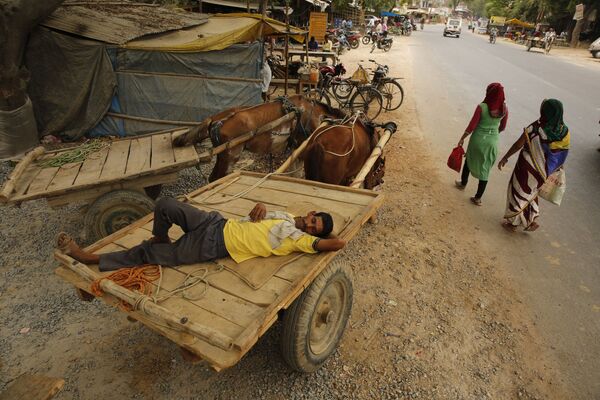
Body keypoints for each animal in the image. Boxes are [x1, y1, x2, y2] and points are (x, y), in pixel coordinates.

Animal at [173, 94, 346, 182]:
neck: (313, 113)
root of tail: (216, 119)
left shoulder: (295, 148)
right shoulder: (300, 145)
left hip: (223, 156)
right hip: (230, 155)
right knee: (216, 177)